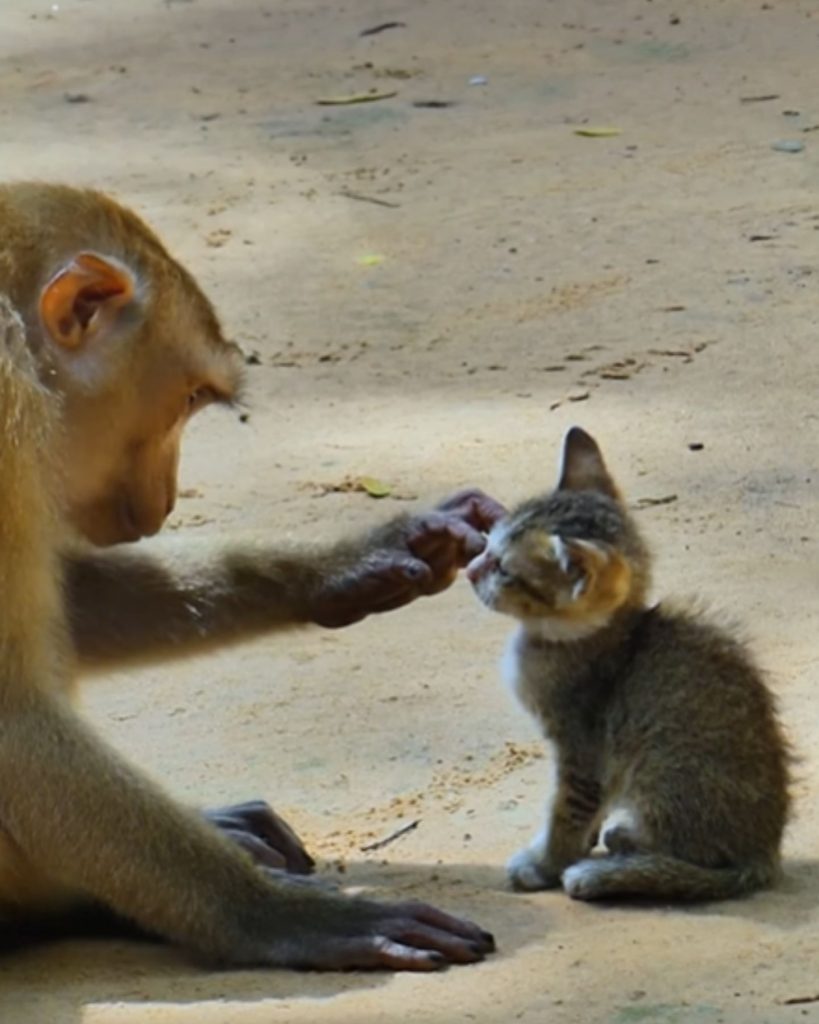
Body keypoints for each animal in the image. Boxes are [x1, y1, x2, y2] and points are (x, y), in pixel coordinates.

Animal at [0, 180, 501, 970]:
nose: (166, 499)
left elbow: (69, 597)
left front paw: (348, 564)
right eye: (185, 399)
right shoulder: (7, 414)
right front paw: (281, 916)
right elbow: (13, 717)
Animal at [470, 428, 790, 901]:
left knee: (699, 857)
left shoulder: (584, 751)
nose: (471, 569)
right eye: (488, 542)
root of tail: (764, 852)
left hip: (659, 765)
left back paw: (624, 858)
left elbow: (568, 812)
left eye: (504, 571)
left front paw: (546, 863)